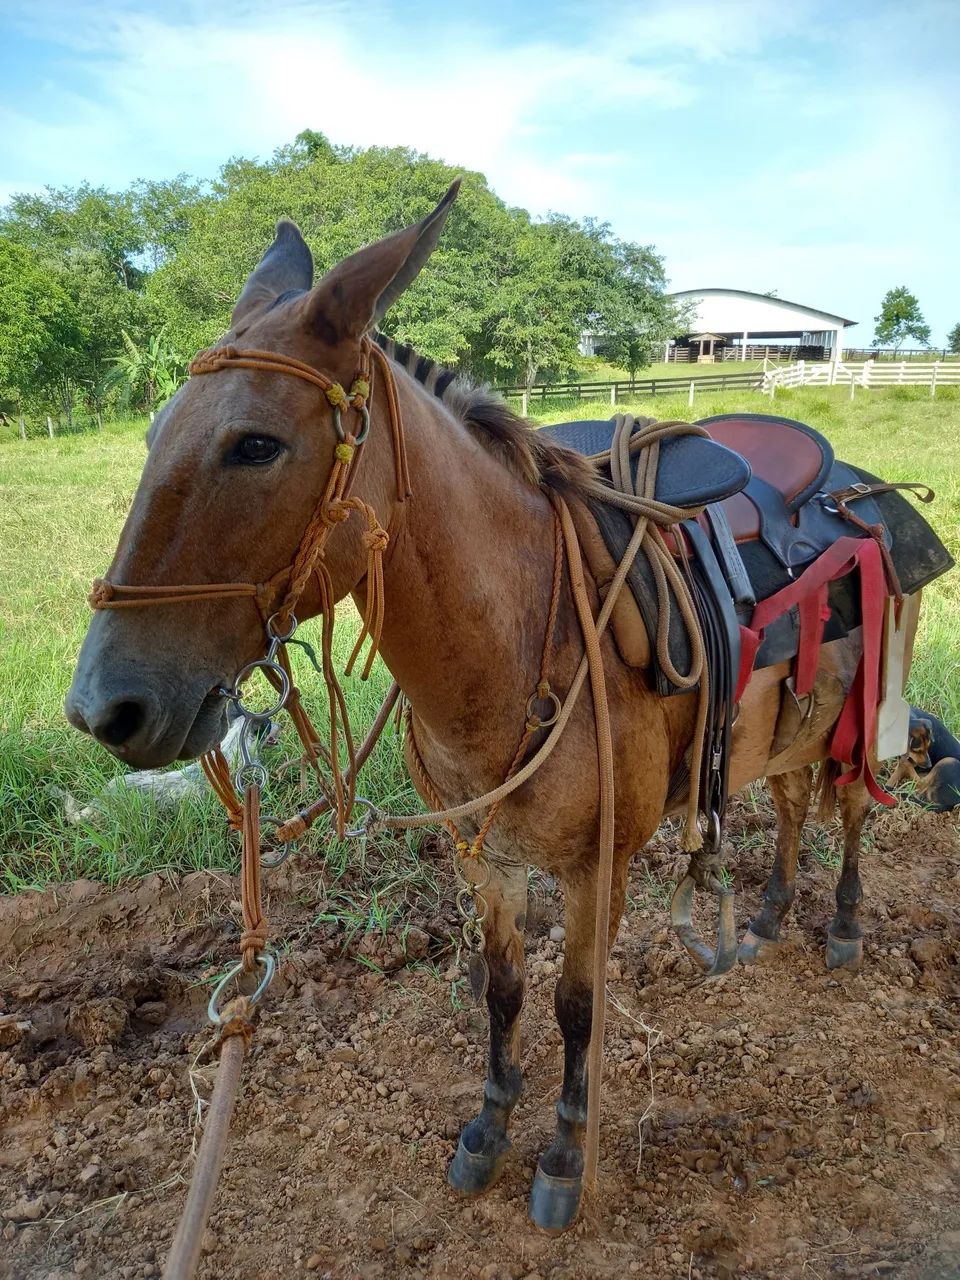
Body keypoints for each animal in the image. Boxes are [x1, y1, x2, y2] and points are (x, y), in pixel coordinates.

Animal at [65, 183, 925, 1230]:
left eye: (256, 445)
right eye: (153, 436)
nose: (103, 707)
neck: (513, 644)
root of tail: (854, 486)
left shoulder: (600, 867)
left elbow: (578, 1006)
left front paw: (561, 1153)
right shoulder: (486, 858)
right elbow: (505, 991)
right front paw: (489, 1124)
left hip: (865, 707)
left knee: (851, 811)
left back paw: (840, 923)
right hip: (787, 726)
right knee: (797, 800)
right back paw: (765, 914)